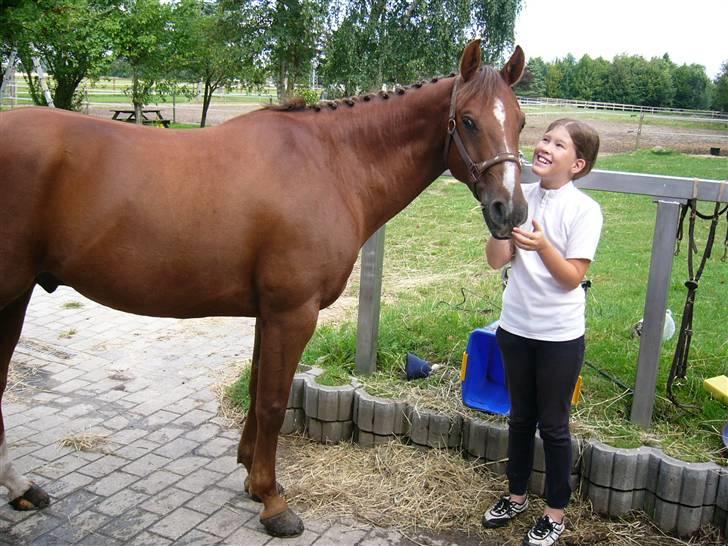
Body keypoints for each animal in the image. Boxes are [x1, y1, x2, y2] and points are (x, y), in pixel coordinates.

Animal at [0, 39, 527, 537]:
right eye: (468, 121)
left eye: (520, 121)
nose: (511, 211)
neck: (331, 164)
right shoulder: (292, 312)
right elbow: (274, 403)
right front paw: (274, 502)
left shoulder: (266, 313)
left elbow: (256, 391)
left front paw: (252, 480)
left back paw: (23, 489)